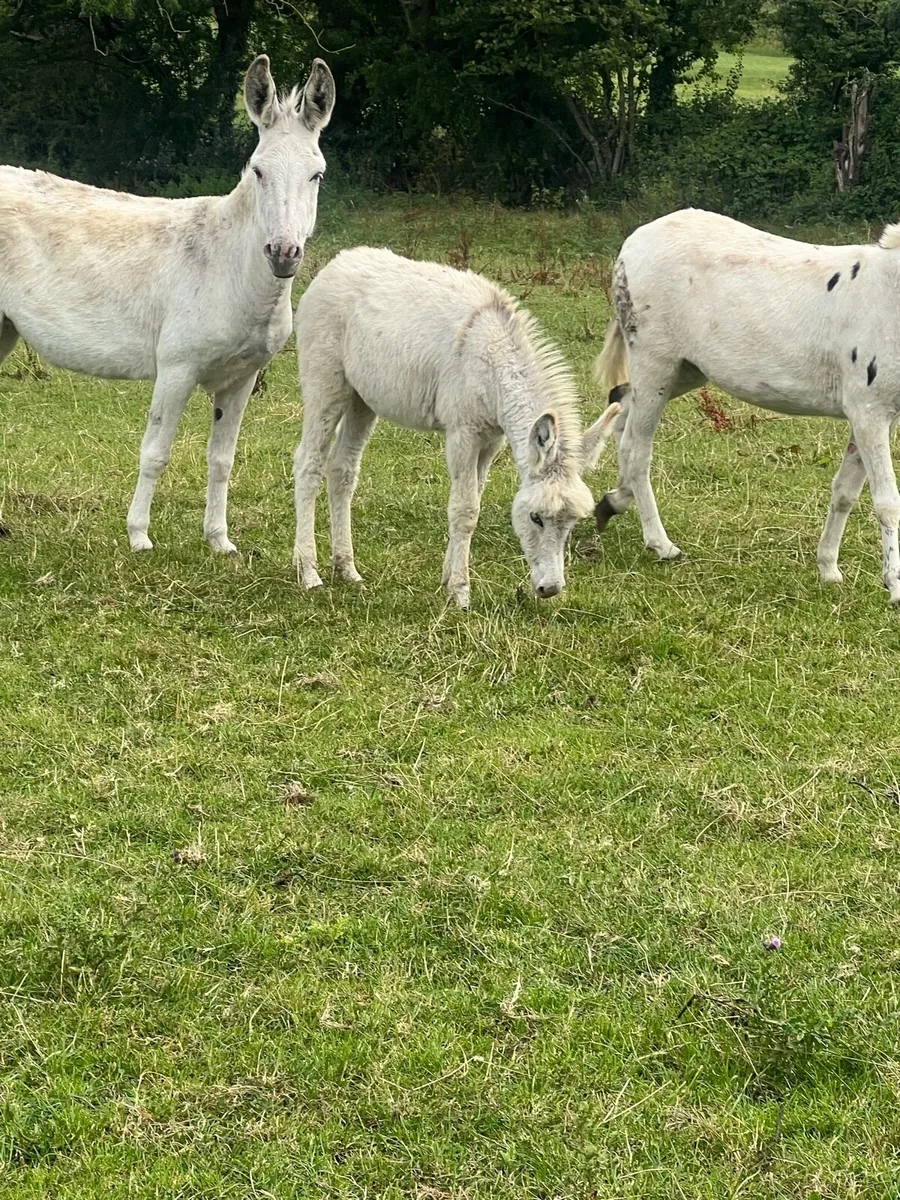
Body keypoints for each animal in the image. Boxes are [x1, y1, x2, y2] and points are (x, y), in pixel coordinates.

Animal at [0, 54, 334, 554]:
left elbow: (222, 460)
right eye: (258, 172)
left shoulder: (241, 379)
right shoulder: (177, 369)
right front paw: (138, 536)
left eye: (317, 175)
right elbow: (155, 452)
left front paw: (219, 541)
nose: (283, 254)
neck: (229, 268)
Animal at [292, 247, 620, 608]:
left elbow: (473, 501)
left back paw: (346, 569)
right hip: (327, 385)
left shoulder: (491, 441)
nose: (550, 588)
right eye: (536, 517)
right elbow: (465, 510)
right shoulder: (463, 435)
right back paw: (309, 572)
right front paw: (461, 592)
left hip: (362, 400)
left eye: (572, 521)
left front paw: (448, 580)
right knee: (308, 463)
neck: (493, 361)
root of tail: (337, 263)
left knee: (342, 470)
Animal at [595, 207, 900, 605]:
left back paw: (613, 501)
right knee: (636, 448)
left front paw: (828, 569)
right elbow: (887, 502)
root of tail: (634, 241)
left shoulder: (876, 416)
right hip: (655, 364)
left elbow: (845, 492)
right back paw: (660, 543)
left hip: (686, 371)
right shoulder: (870, 412)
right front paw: (895, 586)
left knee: (620, 408)